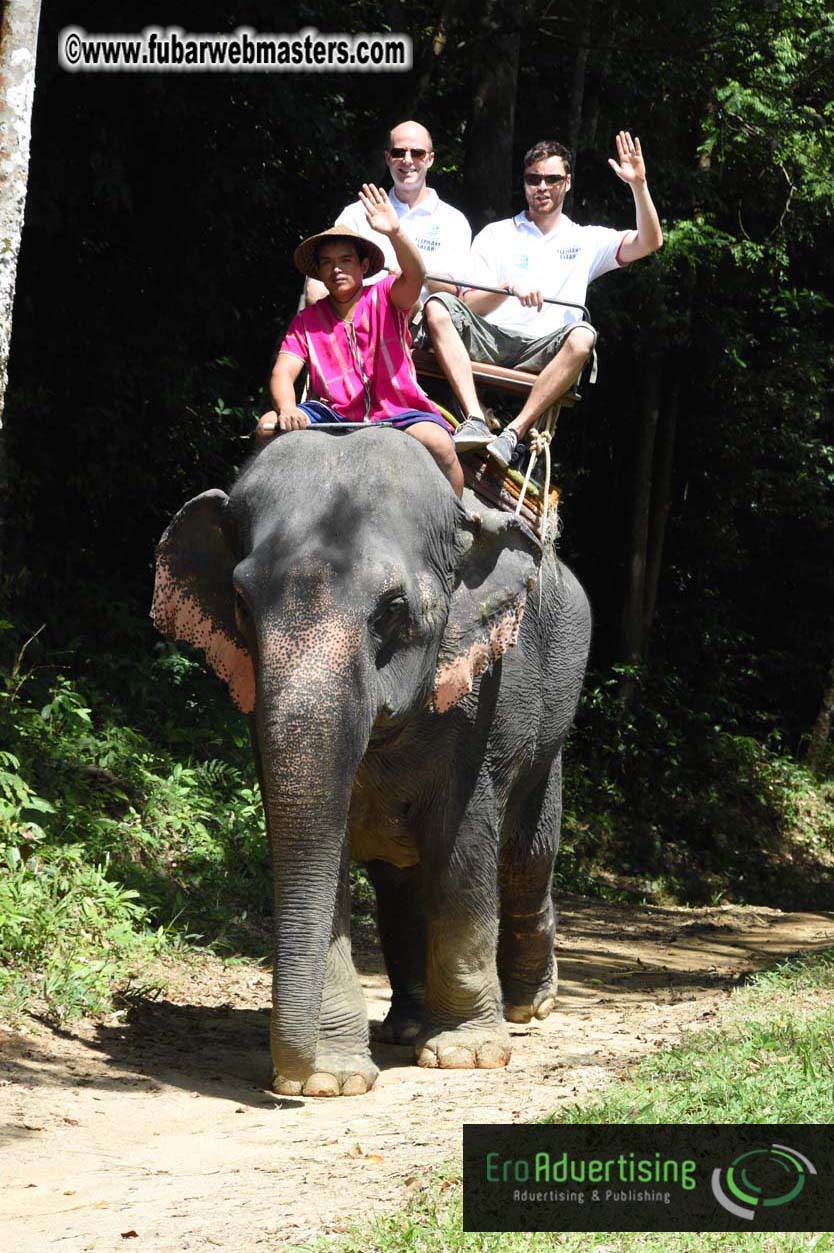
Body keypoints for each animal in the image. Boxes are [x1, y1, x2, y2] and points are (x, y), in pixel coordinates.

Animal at [151, 425, 590, 1096]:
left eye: (391, 609)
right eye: (241, 604)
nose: (288, 1073)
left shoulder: (483, 694)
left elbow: (462, 847)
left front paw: (465, 1056)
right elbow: (315, 839)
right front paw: (327, 1082)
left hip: (552, 723)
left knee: (527, 857)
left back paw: (528, 1006)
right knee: (399, 883)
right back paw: (404, 1028)